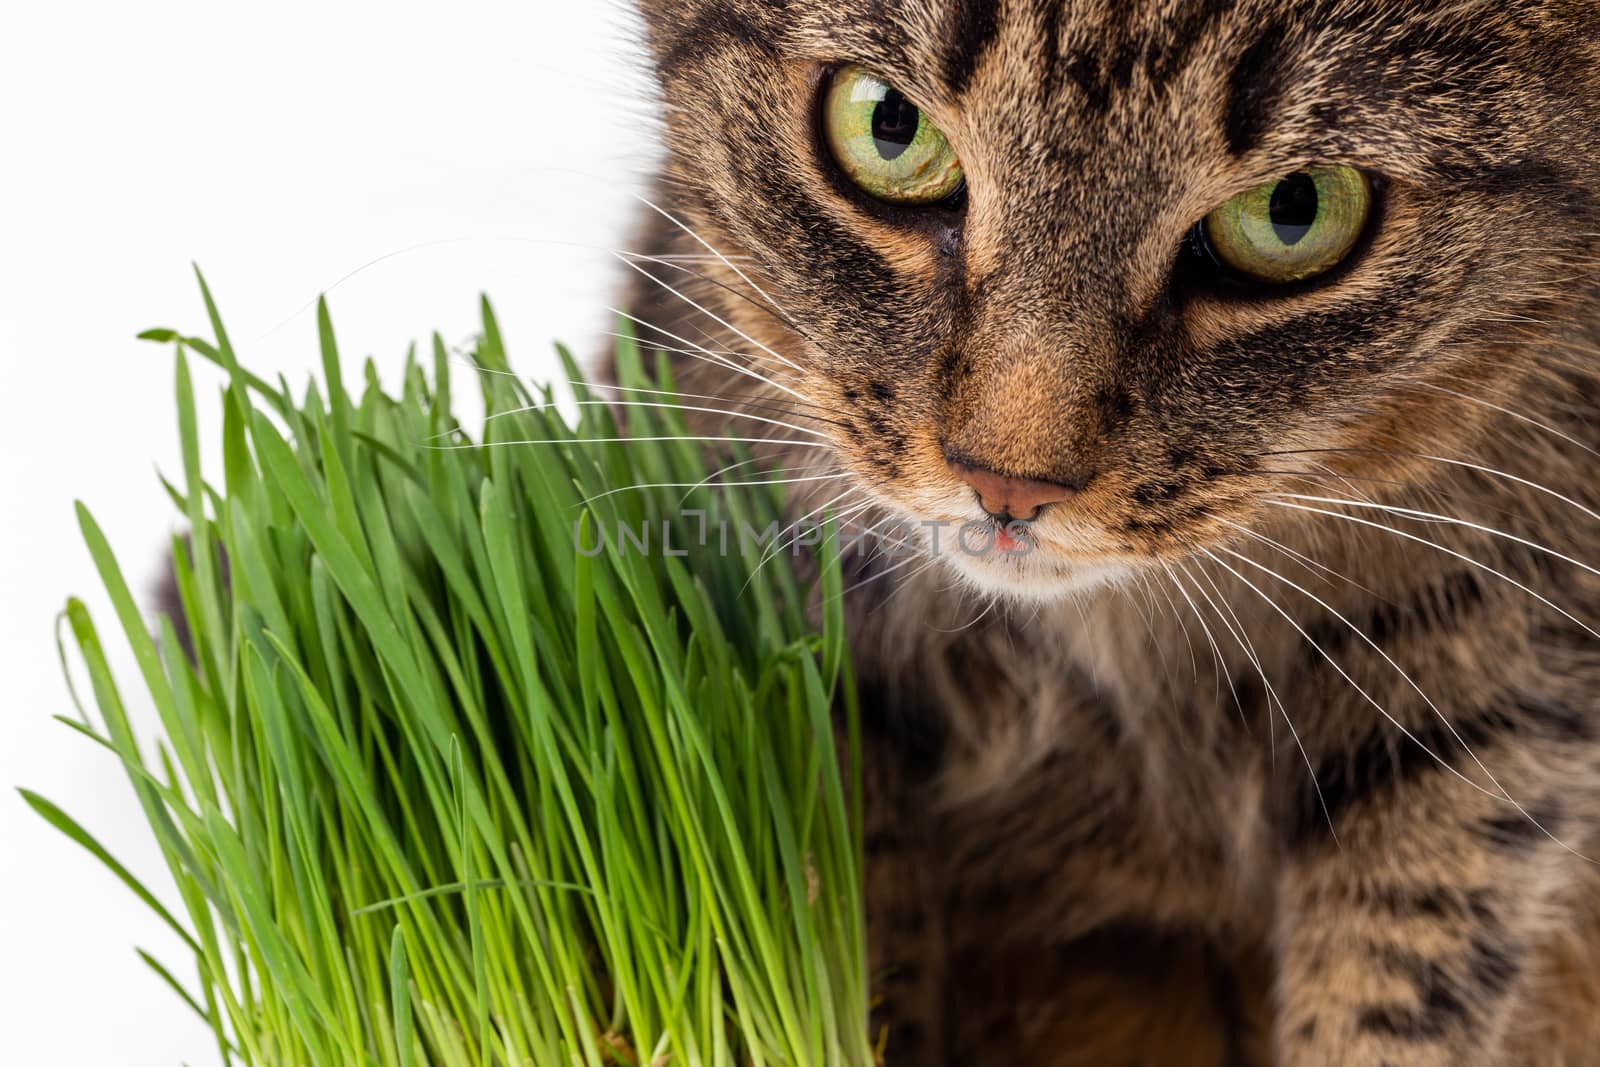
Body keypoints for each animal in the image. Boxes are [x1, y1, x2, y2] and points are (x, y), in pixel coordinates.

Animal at [617, 4, 1600, 1062]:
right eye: (889, 128)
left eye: (1294, 211)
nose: (1005, 481)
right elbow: (820, 865)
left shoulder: (1495, 663)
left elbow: (1404, 971)